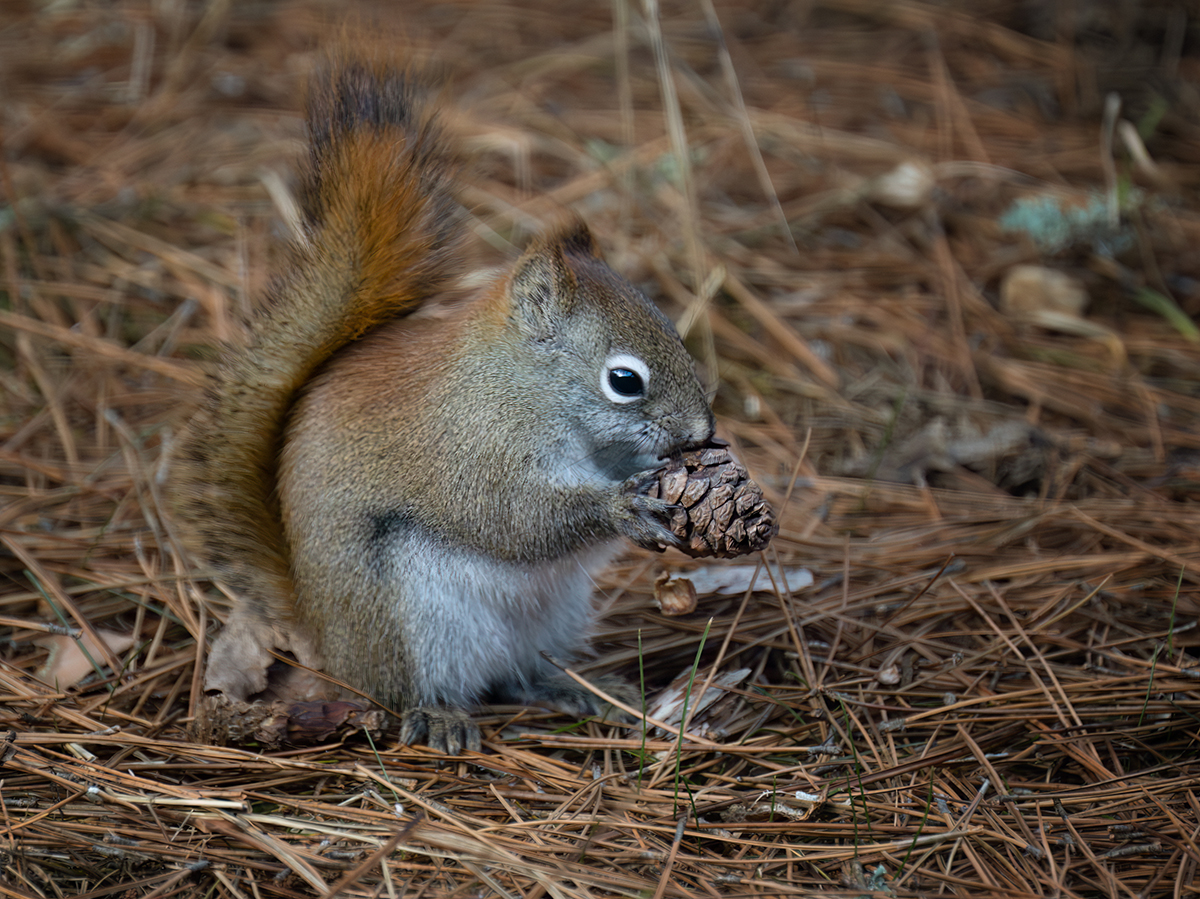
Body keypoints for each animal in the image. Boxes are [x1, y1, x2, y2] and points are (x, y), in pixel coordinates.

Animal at [170, 59, 710, 753]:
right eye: (624, 380)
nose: (702, 432)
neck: (518, 388)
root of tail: (330, 645)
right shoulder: (470, 447)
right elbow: (510, 517)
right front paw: (621, 506)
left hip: (553, 614)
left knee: (517, 675)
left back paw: (581, 691)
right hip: (414, 617)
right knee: (414, 688)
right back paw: (440, 716)